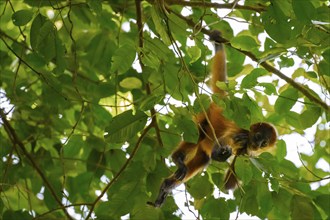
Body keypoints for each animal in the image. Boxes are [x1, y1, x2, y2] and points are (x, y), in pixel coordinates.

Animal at [148, 30, 278, 207]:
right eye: (258, 136)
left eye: (264, 143)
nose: (258, 145)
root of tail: (223, 102)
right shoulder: (240, 130)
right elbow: (223, 144)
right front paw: (221, 154)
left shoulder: (248, 153)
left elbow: (228, 184)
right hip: (204, 113)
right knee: (198, 134)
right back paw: (177, 158)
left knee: (203, 159)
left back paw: (166, 186)